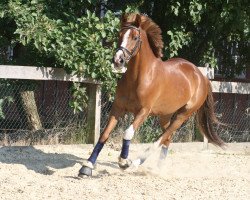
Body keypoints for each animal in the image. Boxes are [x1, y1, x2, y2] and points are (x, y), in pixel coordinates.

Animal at [79, 13, 224, 177]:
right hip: (165, 115)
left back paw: (135, 163)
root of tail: (201, 77)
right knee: (167, 136)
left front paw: (123, 161)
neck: (138, 78)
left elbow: (128, 133)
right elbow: (104, 134)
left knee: (162, 137)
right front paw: (87, 166)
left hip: (183, 115)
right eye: (119, 35)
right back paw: (159, 168)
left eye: (135, 37)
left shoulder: (143, 111)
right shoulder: (118, 108)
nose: (118, 60)